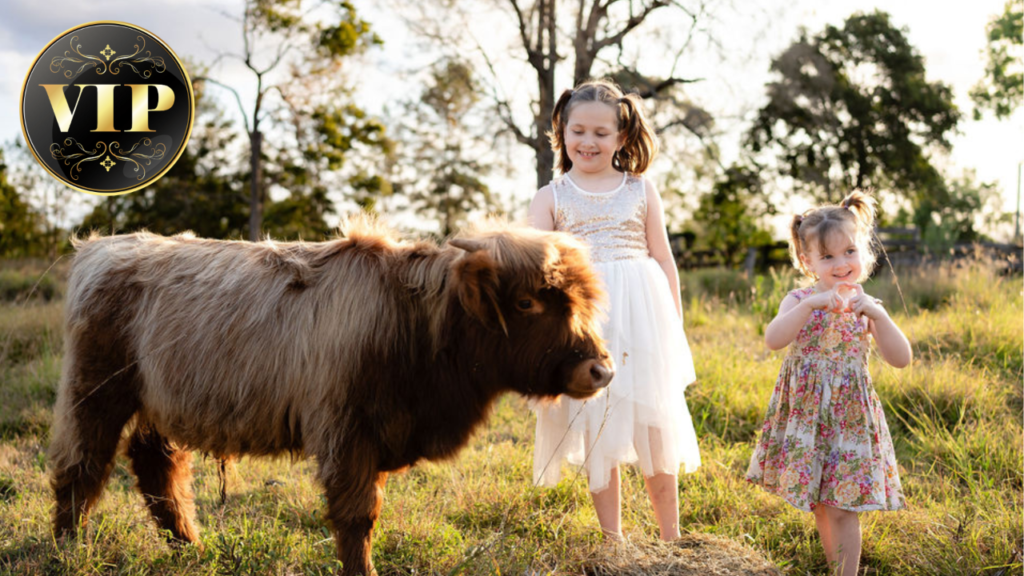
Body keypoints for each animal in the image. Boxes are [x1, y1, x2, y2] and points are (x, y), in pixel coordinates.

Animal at [48, 217, 613, 575]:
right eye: (527, 302)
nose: (600, 369)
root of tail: (104, 246)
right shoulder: (347, 430)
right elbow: (357, 516)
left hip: (162, 401)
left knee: (158, 467)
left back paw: (190, 547)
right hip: (95, 390)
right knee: (81, 466)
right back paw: (69, 551)